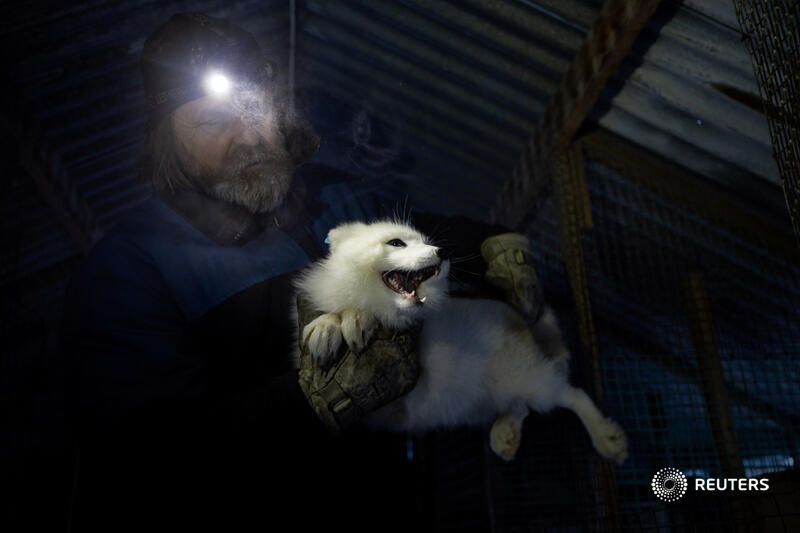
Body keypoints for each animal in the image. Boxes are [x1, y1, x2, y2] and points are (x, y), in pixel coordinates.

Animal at [296, 219, 628, 462]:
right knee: (520, 406)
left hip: (533, 381)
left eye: (425, 241)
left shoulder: (403, 388)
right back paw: (505, 434)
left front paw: (353, 320)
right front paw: (328, 326)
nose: (442, 252)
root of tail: (520, 324)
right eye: (396, 243)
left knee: (573, 394)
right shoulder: (379, 411)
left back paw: (607, 439)